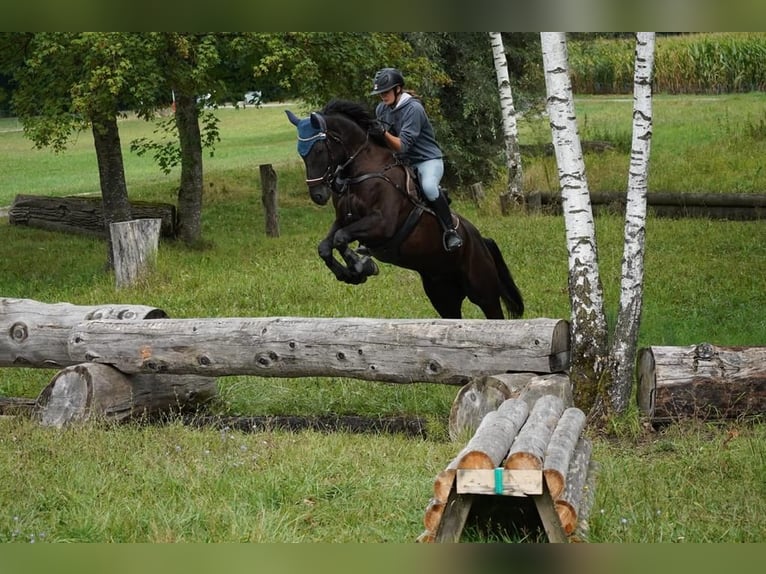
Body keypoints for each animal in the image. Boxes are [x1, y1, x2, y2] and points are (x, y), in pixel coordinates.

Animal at [284, 100, 524, 322]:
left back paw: (453, 239)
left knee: (493, 313)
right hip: (442, 295)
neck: (362, 171)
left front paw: (362, 266)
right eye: (301, 153)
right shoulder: (344, 220)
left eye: (319, 150)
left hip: (483, 291)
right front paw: (350, 274)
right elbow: (326, 246)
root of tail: (481, 240)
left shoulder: (382, 224)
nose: (318, 195)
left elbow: (341, 238)